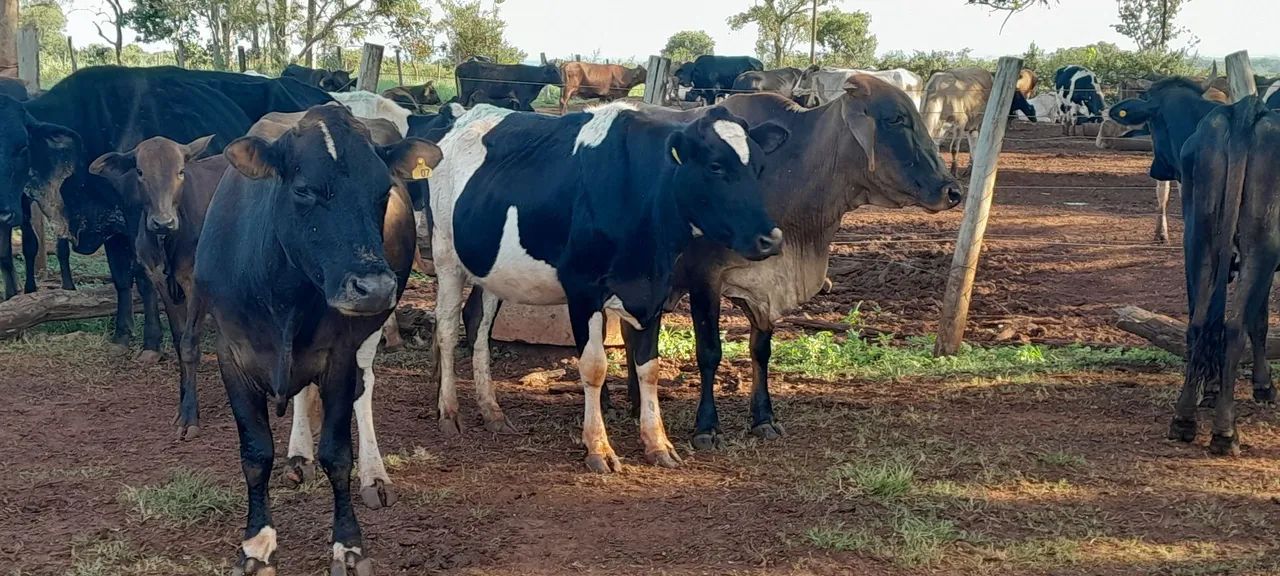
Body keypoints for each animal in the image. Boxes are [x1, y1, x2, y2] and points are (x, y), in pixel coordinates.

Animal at [192, 104, 439, 574]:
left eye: (384, 189)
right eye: (304, 189)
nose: (374, 287)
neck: (281, 291)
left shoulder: (339, 353)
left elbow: (338, 455)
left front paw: (348, 544)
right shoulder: (230, 352)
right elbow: (255, 454)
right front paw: (256, 543)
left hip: (368, 333)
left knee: (365, 389)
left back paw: (374, 475)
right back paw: (298, 455)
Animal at [429, 102, 787, 472]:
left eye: (760, 167)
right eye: (716, 166)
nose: (771, 239)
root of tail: (465, 113)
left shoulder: (653, 291)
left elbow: (649, 368)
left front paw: (657, 443)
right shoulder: (583, 291)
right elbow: (594, 367)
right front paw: (598, 448)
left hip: (490, 270)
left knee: (477, 323)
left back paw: (492, 412)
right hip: (445, 254)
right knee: (447, 328)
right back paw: (449, 413)